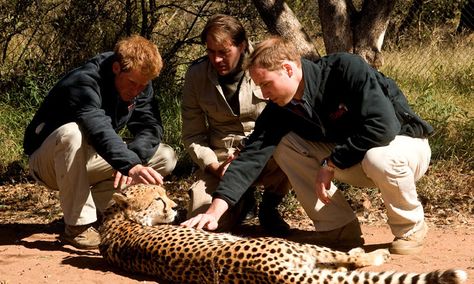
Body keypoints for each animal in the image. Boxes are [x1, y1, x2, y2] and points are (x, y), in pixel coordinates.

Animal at [98, 185, 468, 282]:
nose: (176, 207)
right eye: (157, 198)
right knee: (347, 260)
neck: (120, 219)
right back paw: (375, 254)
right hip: (301, 248)